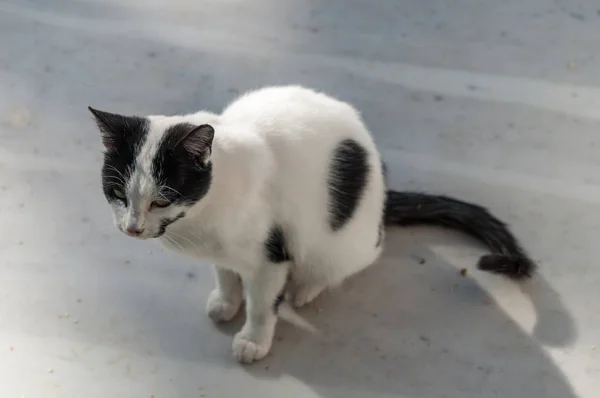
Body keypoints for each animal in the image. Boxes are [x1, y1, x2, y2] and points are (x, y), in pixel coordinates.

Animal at [89, 84, 536, 364]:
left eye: (162, 199)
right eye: (118, 193)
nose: (132, 228)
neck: (200, 218)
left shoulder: (271, 254)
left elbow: (263, 303)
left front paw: (253, 339)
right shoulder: (221, 249)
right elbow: (226, 274)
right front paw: (226, 301)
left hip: (342, 240)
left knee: (354, 257)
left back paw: (306, 287)